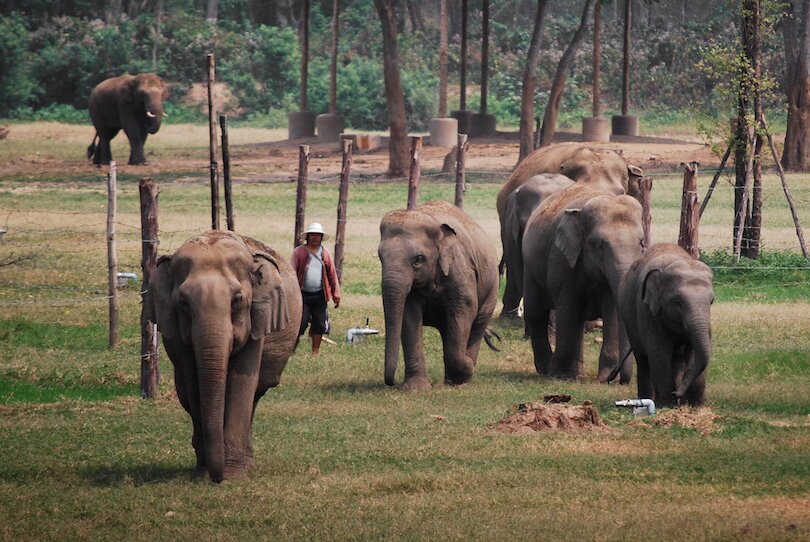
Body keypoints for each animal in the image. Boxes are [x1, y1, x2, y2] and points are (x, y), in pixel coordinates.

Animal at [150, 232, 302, 482]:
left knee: (255, 395)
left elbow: (241, 382)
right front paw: (204, 474)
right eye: (183, 302)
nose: (217, 478)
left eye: (237, 300)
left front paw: (233, 475)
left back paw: (246, 463)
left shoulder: (257, 321)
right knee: (185, 394)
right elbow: (193, 383)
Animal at [378, 200, 498, 392]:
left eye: (418, 259)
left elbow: (465, 308)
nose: (391, 382)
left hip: (492, 289)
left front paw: (467, 368)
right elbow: (408, 315)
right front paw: (415, 389)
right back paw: (452, 379)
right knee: (447, 330)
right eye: (380, 257)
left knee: (477, 324)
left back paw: (462, 377)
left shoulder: (460, 270)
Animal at [516, 185, 644, 384]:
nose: (617, 377)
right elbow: (569, 308)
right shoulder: (560, 257)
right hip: (530, 266)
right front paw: (563, 376)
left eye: (641, 243)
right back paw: (546, 370)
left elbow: (612, 311)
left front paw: (604, 378)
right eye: (600, 245)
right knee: (536, 313)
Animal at [620, 245, 712, 408]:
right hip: (629, 319)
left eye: (712, 301)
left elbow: (695, 352)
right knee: (643, 360)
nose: (676, 393)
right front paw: (666, 405)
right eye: (678, 302)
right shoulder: (646, 309)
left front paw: (694, 407)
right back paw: (646, 400)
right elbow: (658, 351)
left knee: (677, 361)